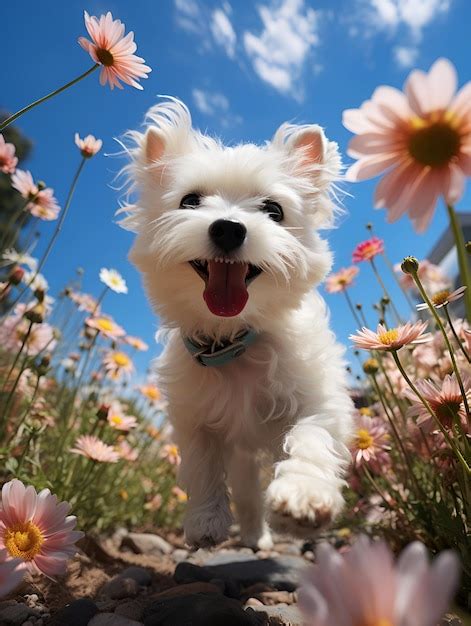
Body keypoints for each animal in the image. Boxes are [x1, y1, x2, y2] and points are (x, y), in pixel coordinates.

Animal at [121, 97, 354, 544]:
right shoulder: (194, 416)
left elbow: (311, 438)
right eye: (190, 201)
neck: (234, 341)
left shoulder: (318, 399)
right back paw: (251, 534)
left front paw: (304, 496)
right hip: (244, 456)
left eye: (274, 210)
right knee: (246, 491)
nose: (228, 228)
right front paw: (205, 520)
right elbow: (202, 464)